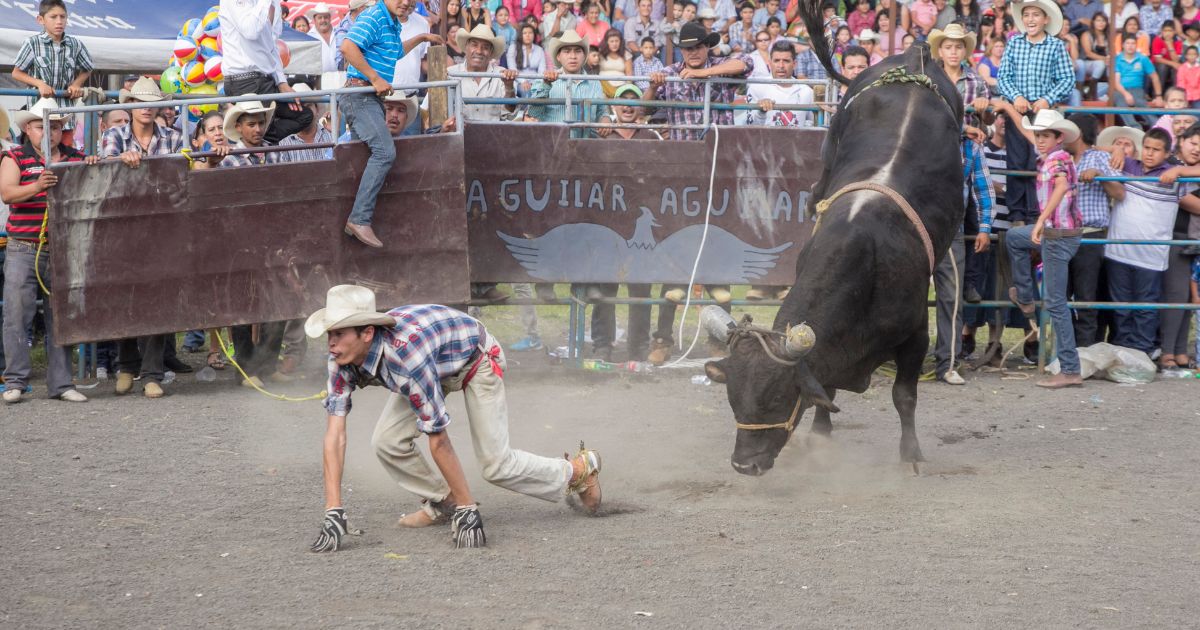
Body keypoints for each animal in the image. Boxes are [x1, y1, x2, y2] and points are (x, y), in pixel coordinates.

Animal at [704, 0, 966, 476]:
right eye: (733, 397)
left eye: (776, 396)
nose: (744, 465)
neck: (867, 259)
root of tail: (915, 55)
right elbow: (826, 389)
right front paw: (822, 435)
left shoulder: (915, 334)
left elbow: (904, 396)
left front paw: (911, 454)